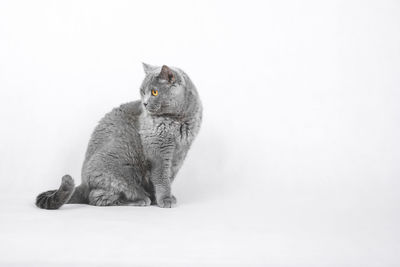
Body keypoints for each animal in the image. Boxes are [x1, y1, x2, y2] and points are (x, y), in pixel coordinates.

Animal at [35, 64, 202, 209]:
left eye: (154, 92)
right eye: (142, 91)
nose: (145, 103)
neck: (179, 120)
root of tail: (82, 183)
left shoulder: (180, 153)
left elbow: (169, 176)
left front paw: (161, 198)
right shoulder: (158, 150)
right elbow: (161, 176)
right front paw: (165, 199)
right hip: (116, 173)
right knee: (97, 197)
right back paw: (140, 199)